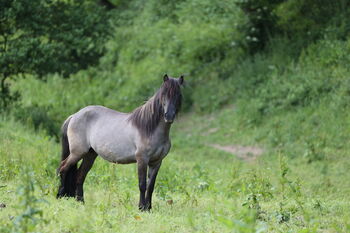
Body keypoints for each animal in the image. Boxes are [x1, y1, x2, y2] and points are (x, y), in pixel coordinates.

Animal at [56, 74, 185, 211]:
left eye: (178, 94)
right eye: (164, 94)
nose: (169, 116)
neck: (149, 128)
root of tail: (74, 116)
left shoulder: (156, 162)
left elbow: (151, 187)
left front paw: (149, 208)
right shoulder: (142, 160)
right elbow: (142, 185)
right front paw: (141, 207)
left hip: (90, 155)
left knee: (80, 176)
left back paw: (81, 202)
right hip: (77, 153)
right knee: (63, 168)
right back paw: (60, 196)